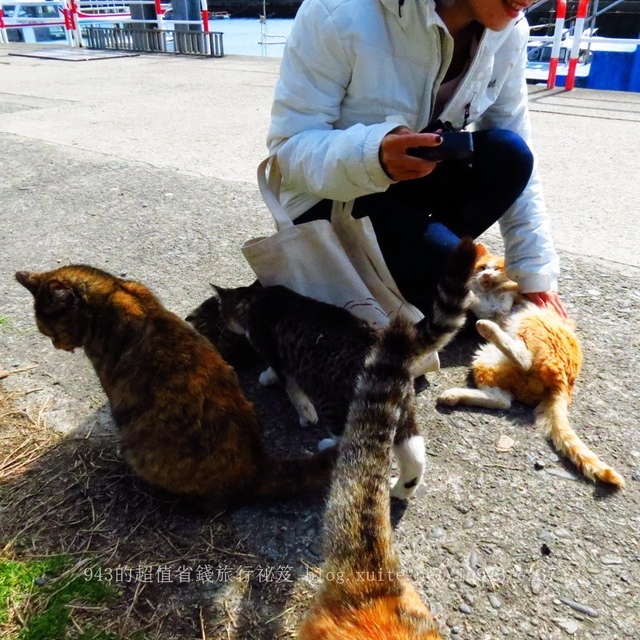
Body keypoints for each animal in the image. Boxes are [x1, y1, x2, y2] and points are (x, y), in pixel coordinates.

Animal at [186, 239, 476, 500]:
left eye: (219, 316)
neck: (257, 301)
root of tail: (387, 348)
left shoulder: (280, 357)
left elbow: (292, 389)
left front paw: (296, 406)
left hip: (338, 402)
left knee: (347, 437)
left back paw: (329, 445)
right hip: (399, 407)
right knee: (414, 454)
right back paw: (400, 490)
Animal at [438, 248, 624, 488]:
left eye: (496, 267)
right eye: (482, 267)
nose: (486, 275)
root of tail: (564, 381)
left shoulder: (509, 300)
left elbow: (504, 294)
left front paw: (481, 292)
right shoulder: (491, 308)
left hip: (530, 322)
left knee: (523, 361)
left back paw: (487, 329)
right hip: (486, 359)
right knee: (503, 400)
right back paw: (453, 395)